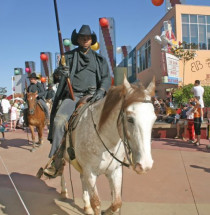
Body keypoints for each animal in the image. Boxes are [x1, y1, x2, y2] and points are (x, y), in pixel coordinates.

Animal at [60, 77, 157, 215]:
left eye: (154, 119)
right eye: (130, 119)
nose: (145, 165)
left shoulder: (115, 170)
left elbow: (116, 203)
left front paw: (105, 210)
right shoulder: (90, 172)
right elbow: (96, 202)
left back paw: (86, 206)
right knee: (61, 170)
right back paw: (64, 191)